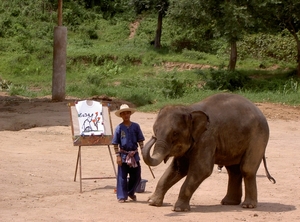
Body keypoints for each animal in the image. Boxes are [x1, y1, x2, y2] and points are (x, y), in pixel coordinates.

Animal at [142, 93, 276, 212]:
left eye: (175, 133)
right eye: (155, 130)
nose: (152, 138)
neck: (190, 109)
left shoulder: (207, 139)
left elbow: (202, 169)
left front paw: (179, 209)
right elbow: (178, 169)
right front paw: (152, 202)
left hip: (258, 137)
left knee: (247, 169)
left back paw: (247, 206)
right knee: (233, 171)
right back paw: (229, 203)